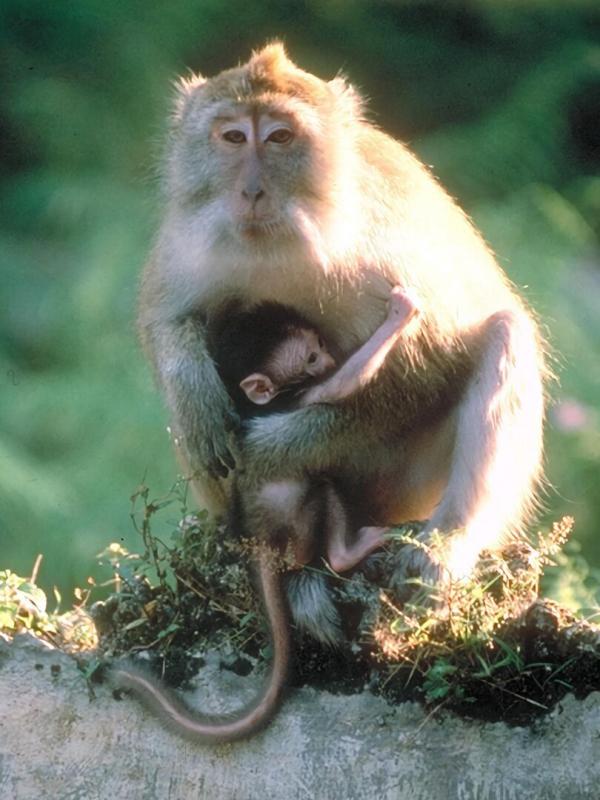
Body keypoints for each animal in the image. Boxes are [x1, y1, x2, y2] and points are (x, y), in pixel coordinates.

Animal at [131, 44, 546, 738]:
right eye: (232, 137)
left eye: (279, 137)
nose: (251, 189)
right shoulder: (188, 246)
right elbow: (168, 322)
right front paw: (200, 403)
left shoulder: (380, 253)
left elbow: (420, 367)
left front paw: (271, 448)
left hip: (402, 484)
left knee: (505, 333)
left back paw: (444, 547)